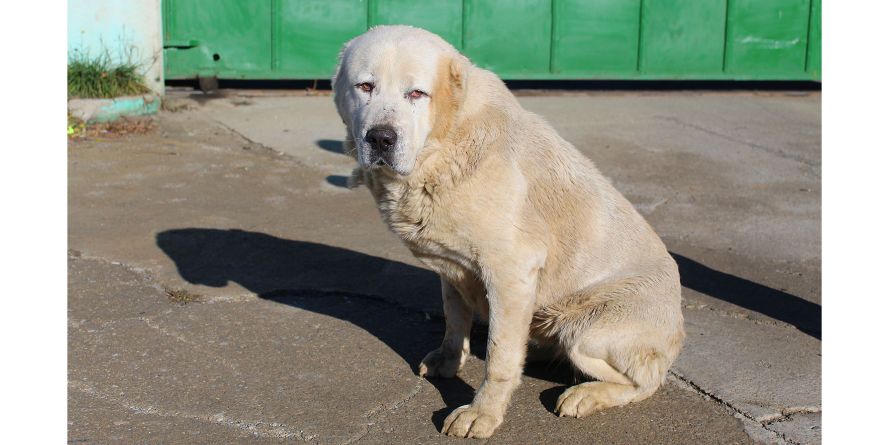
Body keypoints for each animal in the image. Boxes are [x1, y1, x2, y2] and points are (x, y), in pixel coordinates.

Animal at [332, 25, 688, 438]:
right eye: (365, 86)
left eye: (416, 93)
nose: (381, 138)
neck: (443, 145)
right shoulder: (453, 268)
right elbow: (455, 317)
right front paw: (449, 359)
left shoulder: (511, 271)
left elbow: (499, 357)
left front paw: (482, 413)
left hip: (586, 330)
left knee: (646, 380)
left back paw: (585, 394)